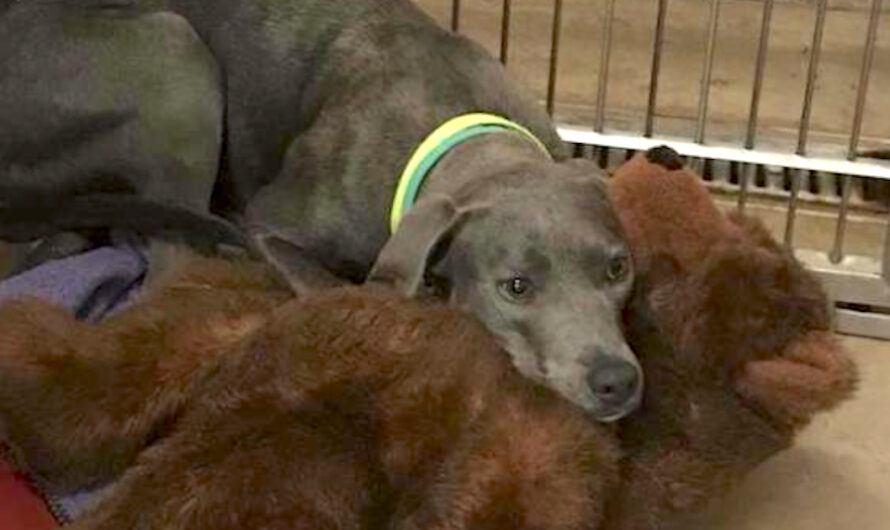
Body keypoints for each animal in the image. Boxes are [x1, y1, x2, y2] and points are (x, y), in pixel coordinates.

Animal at [0, 1, 640, 420]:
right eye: (516, 287)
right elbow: (333, 289)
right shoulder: (270, 224)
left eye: (618, 269)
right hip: (172, 58)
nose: (618, 381)